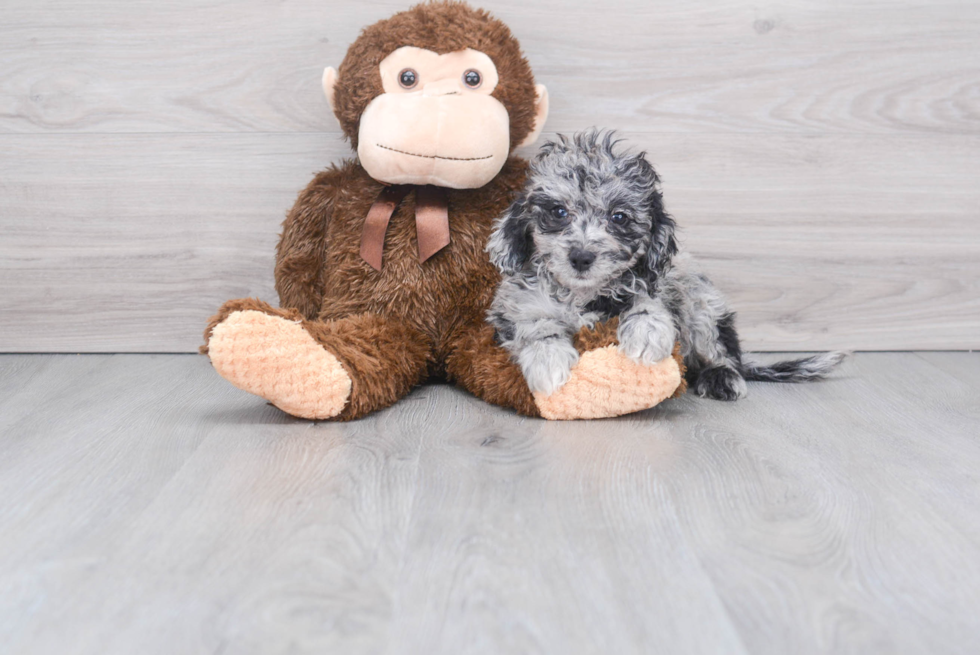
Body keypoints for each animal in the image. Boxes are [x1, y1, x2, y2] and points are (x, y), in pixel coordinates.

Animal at [486, 131, 848, 400]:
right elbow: (535, 327)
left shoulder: (659, 284)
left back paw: (722, 377)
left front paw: (646, 335)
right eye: (558, 212)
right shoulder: (513, 308)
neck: (583, 295)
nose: (581, 257)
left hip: (702, 304)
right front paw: (548, 360)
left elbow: (648, 302)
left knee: (723, 350)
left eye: (619, 217)